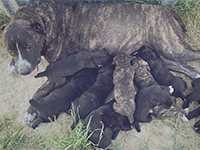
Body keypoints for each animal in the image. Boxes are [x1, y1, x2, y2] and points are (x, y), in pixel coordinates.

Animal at [2, 0, 200, 79]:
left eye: (28, 46)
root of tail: (168, 10)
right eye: (10, 50)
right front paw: (12, 66)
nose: (24, 72)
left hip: (173, 48)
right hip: (162, 53)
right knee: (187, 68)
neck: (44, 19)